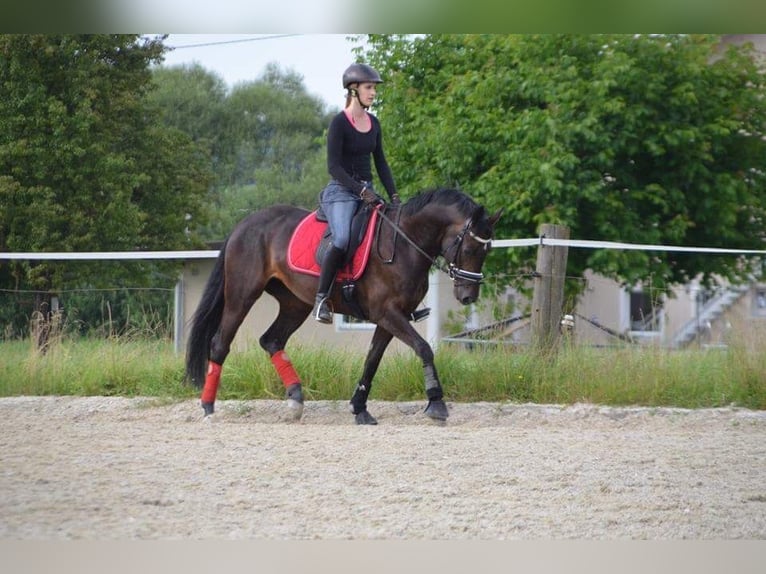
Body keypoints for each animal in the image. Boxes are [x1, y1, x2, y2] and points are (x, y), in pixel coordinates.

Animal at [184, 188, 503, 425]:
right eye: (470, 248)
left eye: (487, 250)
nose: (468, 297)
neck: (404, 243)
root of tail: (244, 225)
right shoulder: (388, 314)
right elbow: (423, 348)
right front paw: (436, 403)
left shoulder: (389, 318)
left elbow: (372, 360)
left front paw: (359, 408)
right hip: (242, 295)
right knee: (220, 344)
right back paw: (208, 407)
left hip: (294, 303)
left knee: (271, 340)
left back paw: (296, 400)